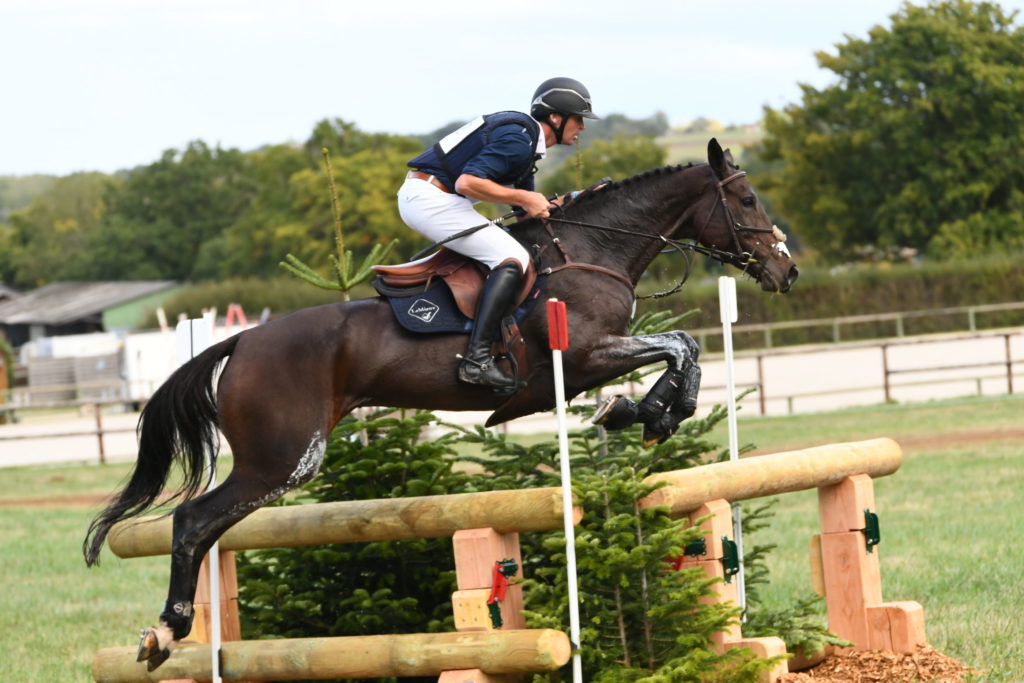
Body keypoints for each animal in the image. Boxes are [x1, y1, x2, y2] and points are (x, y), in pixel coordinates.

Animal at [81, 136, 798, 671]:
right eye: (746, 197)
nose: (787, 271)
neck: (593, 248)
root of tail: (242, 339)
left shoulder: (593, 359)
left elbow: (684, 348)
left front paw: (649, 414)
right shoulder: (583, 356)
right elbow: (679, 346)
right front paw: (644, 413)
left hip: (276, 462)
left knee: (208, 528)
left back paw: (174, 635)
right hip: (283, 459)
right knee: (193, 521)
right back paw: (167, 631)